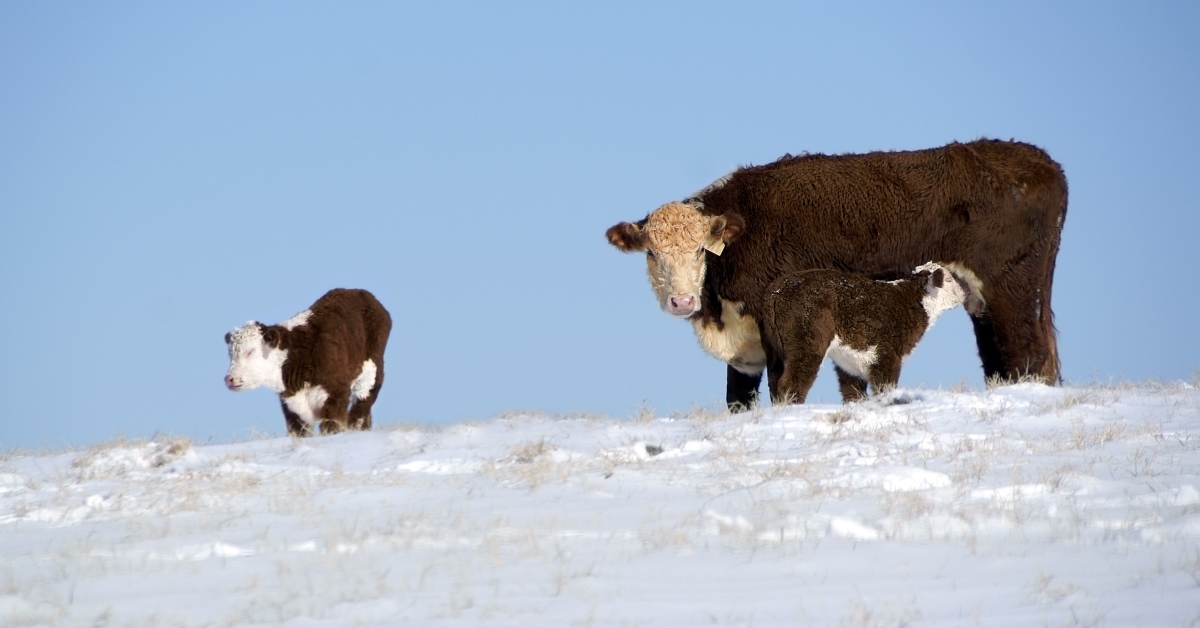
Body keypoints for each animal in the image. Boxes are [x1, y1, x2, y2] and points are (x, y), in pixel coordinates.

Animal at [223, 290, 391, 437]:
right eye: (230, 353)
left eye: (250, 351)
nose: (229, 378)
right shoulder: (292, 407)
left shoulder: (336, 394)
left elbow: (331, 427)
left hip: (370, 374)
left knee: (361, 410)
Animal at [763, 264, 969, 403]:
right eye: (949, 280)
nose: (964, 292)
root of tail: (777, 291)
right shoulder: (887, 355)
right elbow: (884, 388)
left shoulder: (849, 360)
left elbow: (852, 392)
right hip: (807, 342)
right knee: (791, 382)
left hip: (775, 349)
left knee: (774, 381)